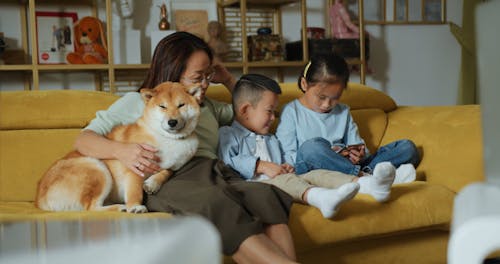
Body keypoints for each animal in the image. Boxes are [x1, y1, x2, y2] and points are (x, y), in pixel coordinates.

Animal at [36, 81, 202, 213]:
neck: (167, 139)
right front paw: (135, 206)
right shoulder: (135, 168)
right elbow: (135, 191)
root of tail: (39, 200)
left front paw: (152, 183)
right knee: (91, 207)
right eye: (162, 107)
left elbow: (166, 172)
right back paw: (119, 207)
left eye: (181, 105)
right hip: (97, 168)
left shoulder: (174, 166)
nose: (172, 122)